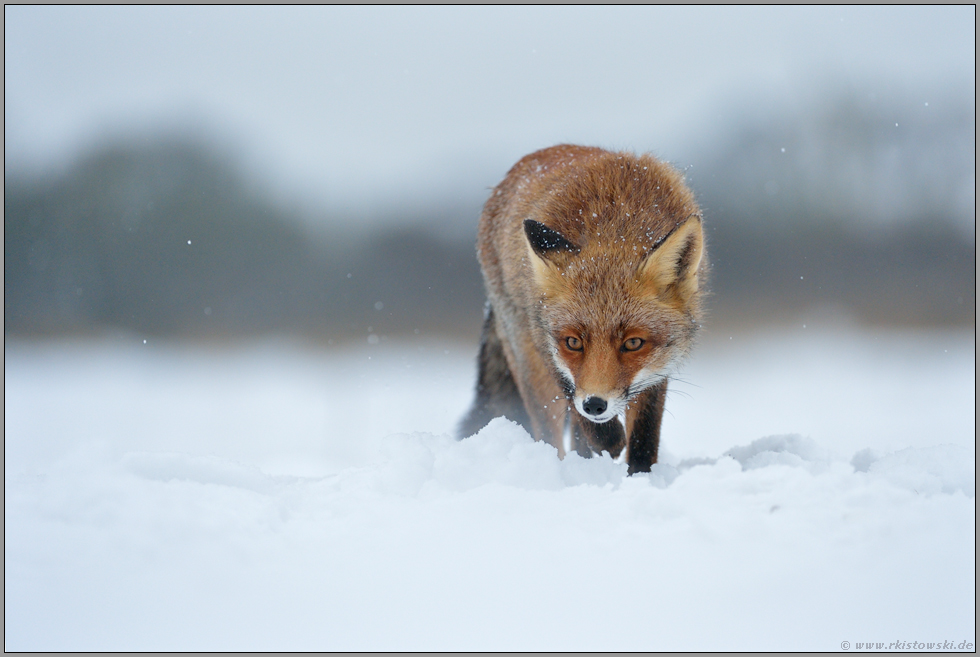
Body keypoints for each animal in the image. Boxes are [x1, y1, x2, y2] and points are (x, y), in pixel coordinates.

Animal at [458, 144, 706, 474]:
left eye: (633, 343)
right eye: (573, 342)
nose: (595, 405)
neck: (616, 224)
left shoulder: (657, 369)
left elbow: (644, 439)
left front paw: (641, 478)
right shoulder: (549, 349)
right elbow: (594, 426)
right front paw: (608, 441)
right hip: (530, 366)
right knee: (550, 435)